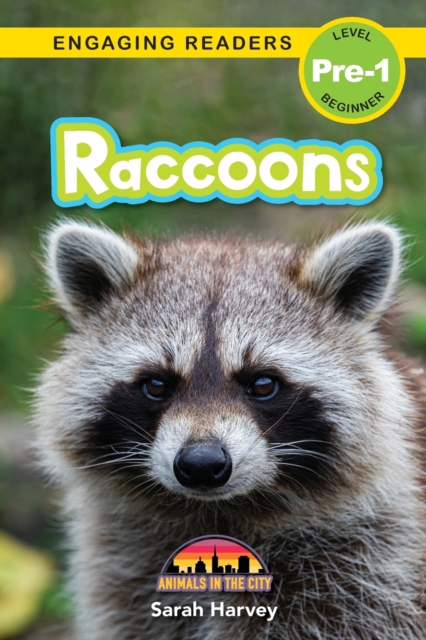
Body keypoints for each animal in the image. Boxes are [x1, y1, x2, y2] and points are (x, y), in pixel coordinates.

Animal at [35, 220, 426, 640]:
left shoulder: (366, 574)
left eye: (263, 384)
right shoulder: (128, 572)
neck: (217, 513)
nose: (202, 464)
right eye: (156, 384)